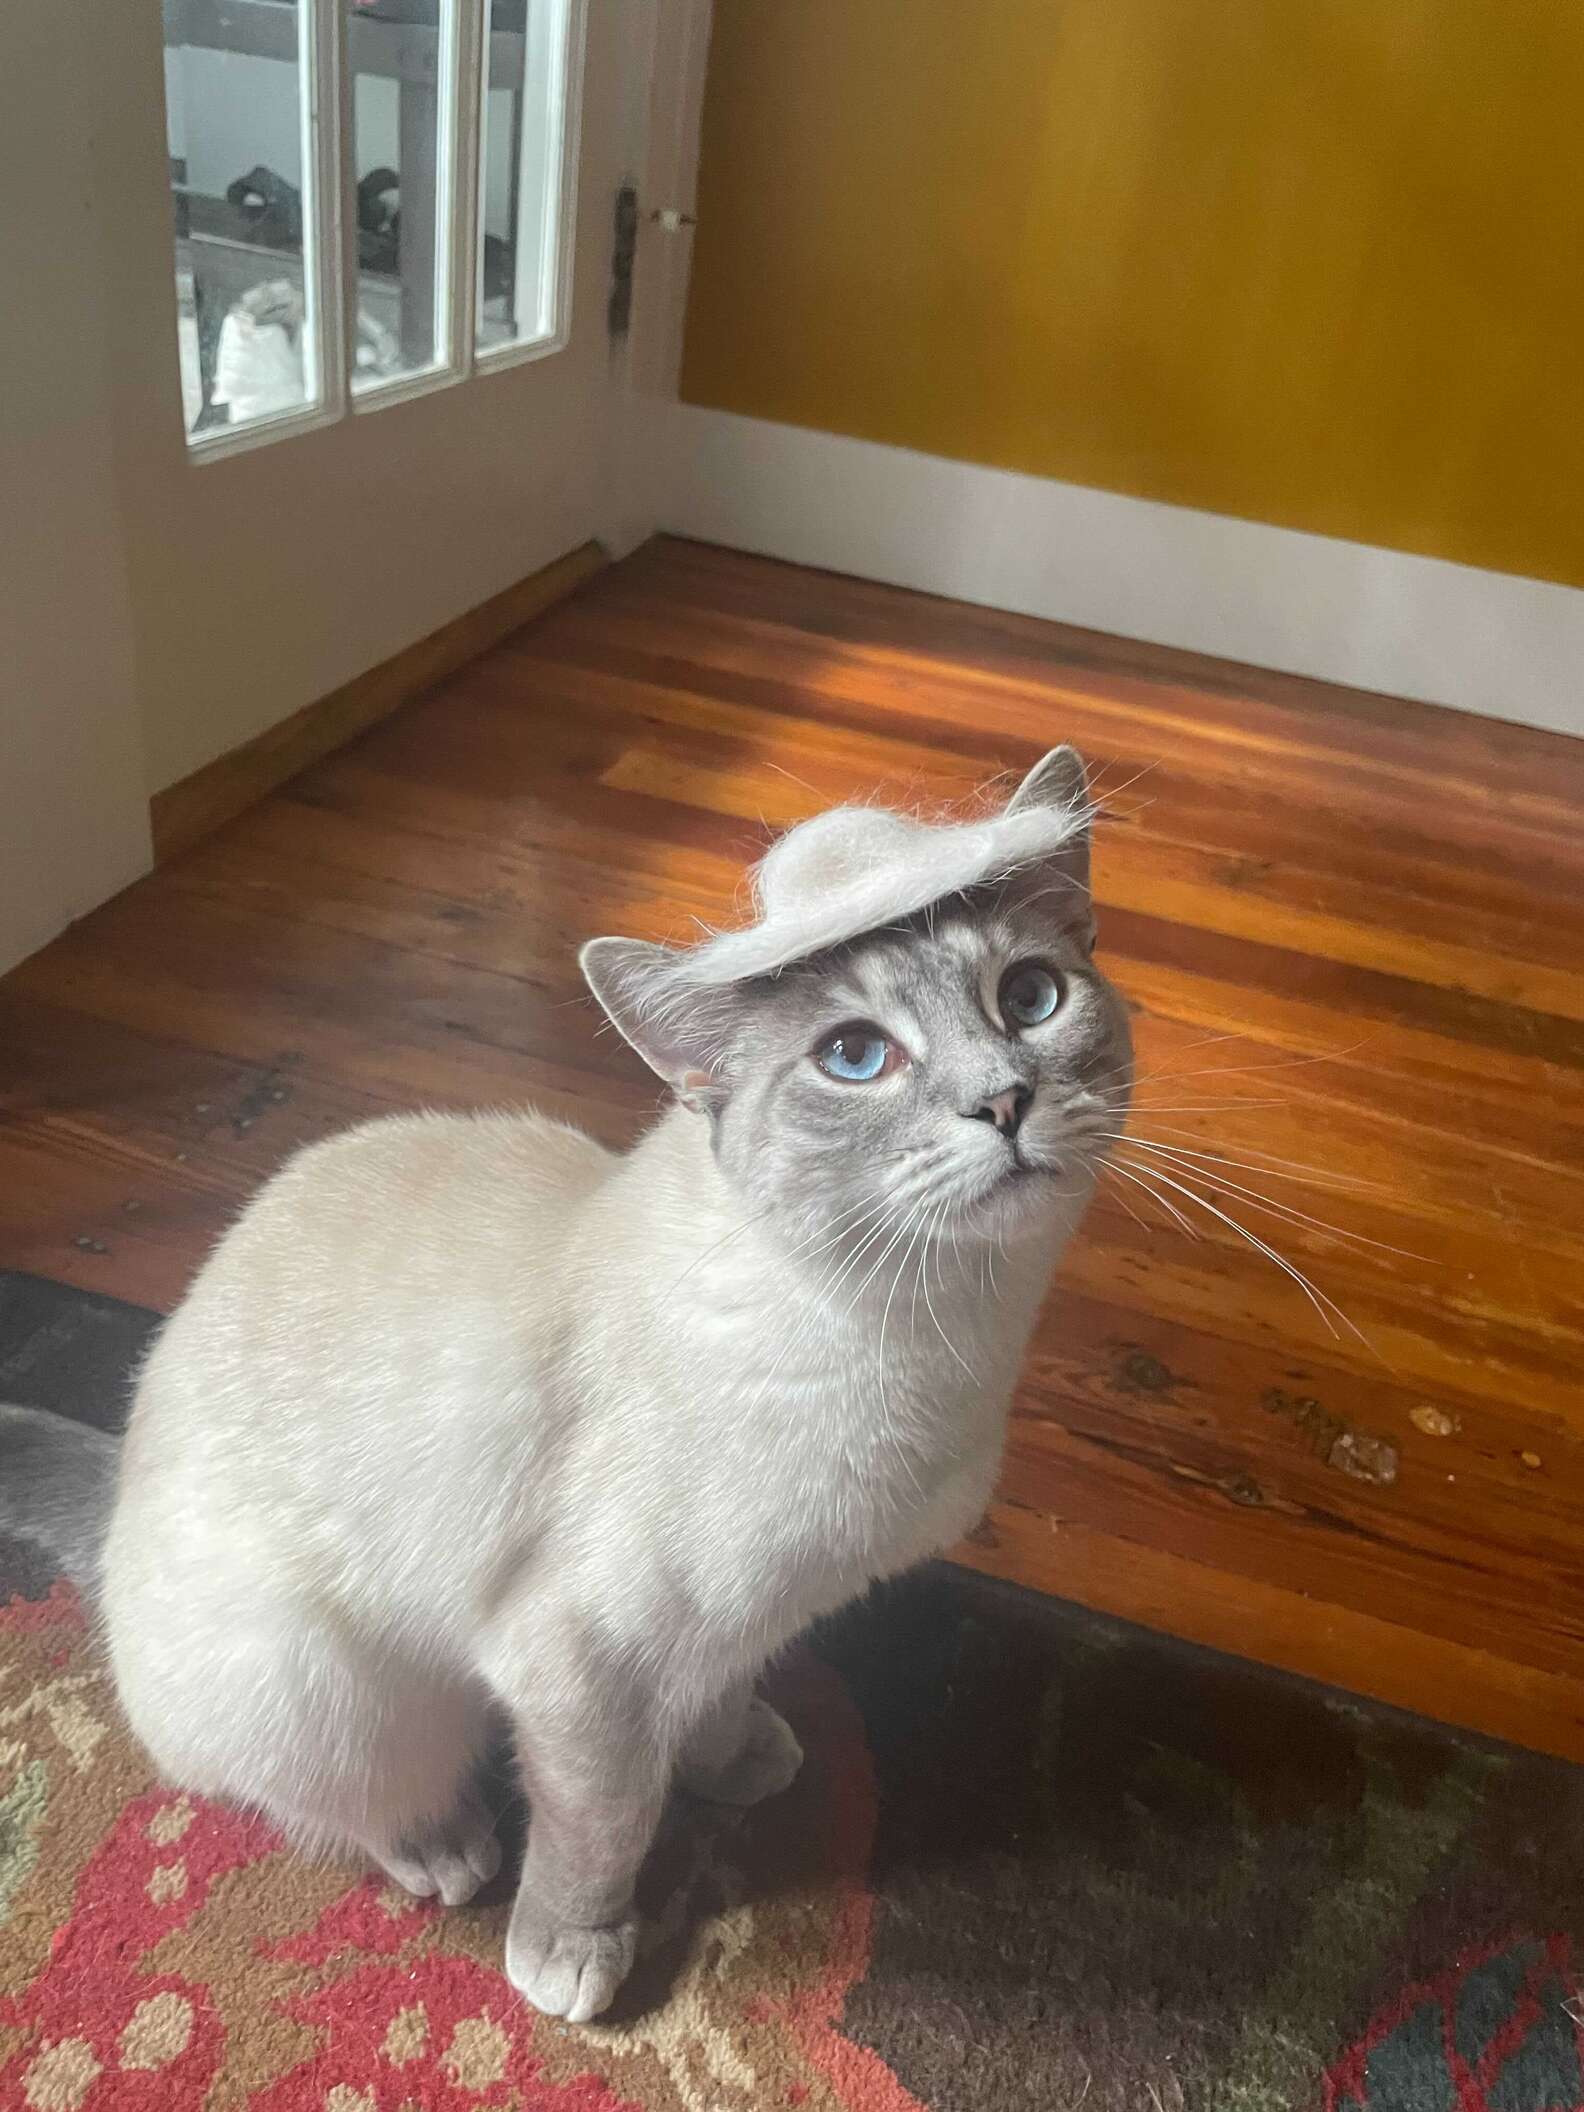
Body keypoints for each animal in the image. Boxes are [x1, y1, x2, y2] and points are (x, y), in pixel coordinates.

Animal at [6, 751, 1132, 2019]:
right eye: (856, 1059)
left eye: (1029, 997)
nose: (1002, 1101)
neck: (938, 1339)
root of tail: (113, 1498)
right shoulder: (582, 1659)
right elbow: (605, 1822)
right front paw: (574, 1952)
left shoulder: (750, 1614)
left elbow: (716, 1697)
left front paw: (740, 1760)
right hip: (324, 1688)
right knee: (338, 1798)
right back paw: (444, 1845)